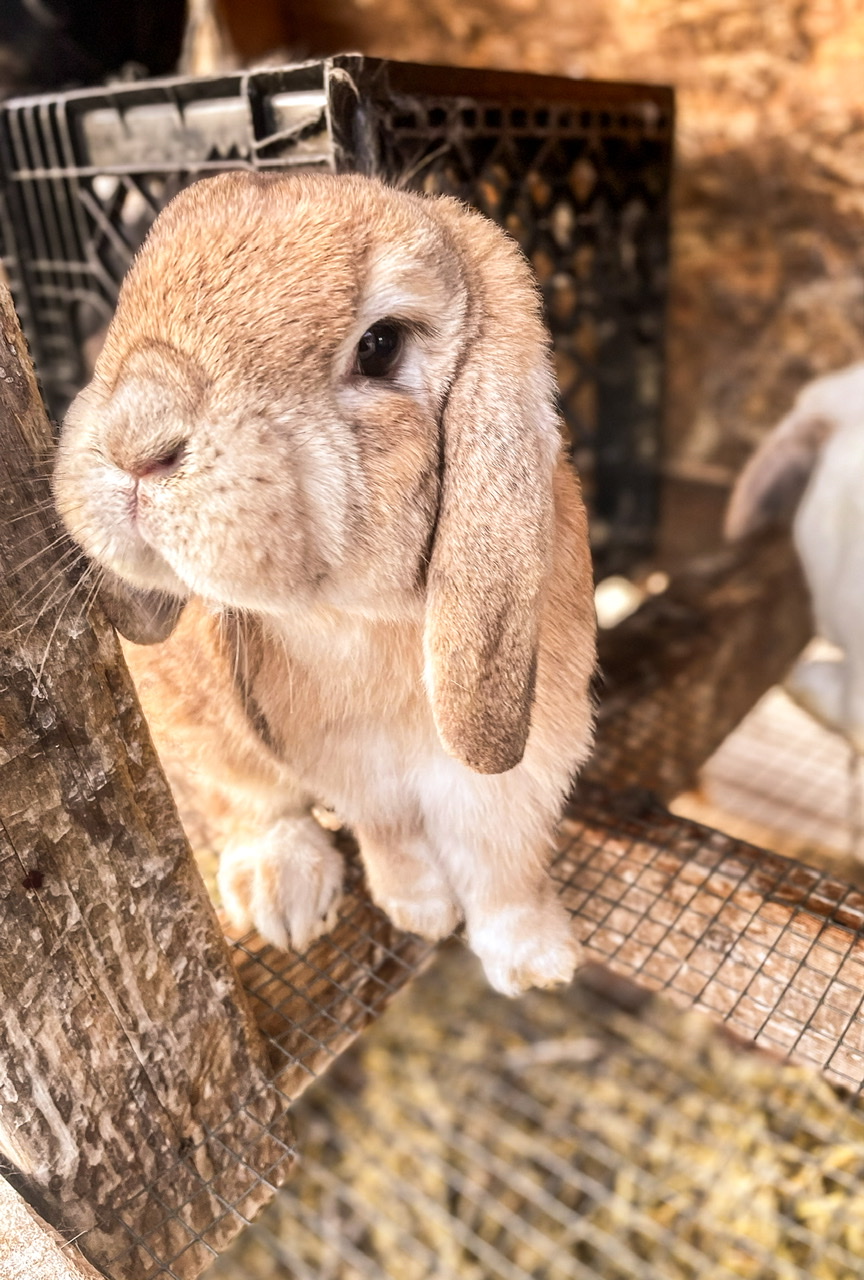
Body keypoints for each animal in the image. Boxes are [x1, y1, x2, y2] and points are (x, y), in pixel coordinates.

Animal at [52, 170, 597, 996]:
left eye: (380, 344)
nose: (132, 444)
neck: (360, 619)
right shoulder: (352, 767)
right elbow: (391, 833)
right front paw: (418, 910)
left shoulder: (518, 768)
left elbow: (503, 859)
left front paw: (536, 965)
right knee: (243, 799)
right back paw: (282, 896)